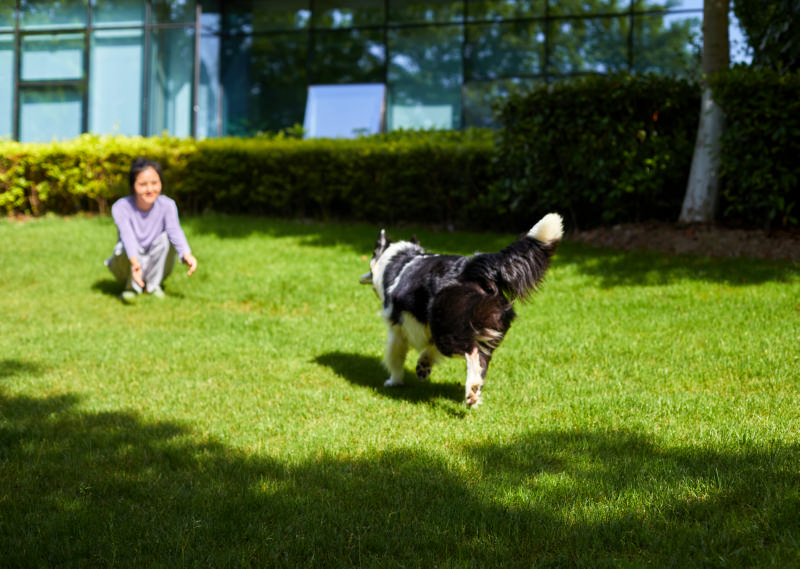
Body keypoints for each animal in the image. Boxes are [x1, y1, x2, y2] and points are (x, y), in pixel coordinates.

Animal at [360, 211, 564, 406]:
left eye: (372, 257)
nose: (362, 277)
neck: (399, 259)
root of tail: (475, 266)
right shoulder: (429, 327)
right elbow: (430, 349)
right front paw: (424, 364)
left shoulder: (398, 329)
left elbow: (395, 357)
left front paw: (394, 381)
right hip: (478, 328)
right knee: (481, 362)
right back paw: (473, 394)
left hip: (449, 329)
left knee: (470, 352)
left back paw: (471, 390)